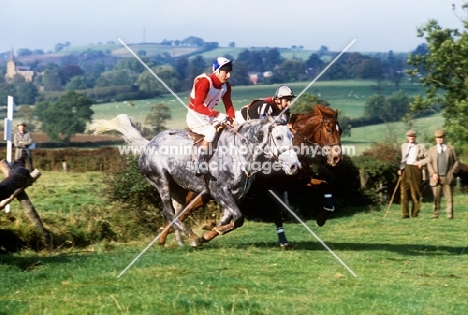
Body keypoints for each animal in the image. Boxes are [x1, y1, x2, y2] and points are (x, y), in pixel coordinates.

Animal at [90, 115, 300, 248]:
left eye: (291, 136)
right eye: (278, 137)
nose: (295, 166)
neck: (239, 153)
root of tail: (149, 144)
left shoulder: (234, 194)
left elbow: (229, 219)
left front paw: (210, 232)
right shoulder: (219, 191)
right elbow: (238, 218)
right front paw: (207, 233)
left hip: (179, 189)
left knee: (179, 211)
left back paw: (178, 238)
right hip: (162, 182)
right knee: (168, 212)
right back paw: (190, 237)